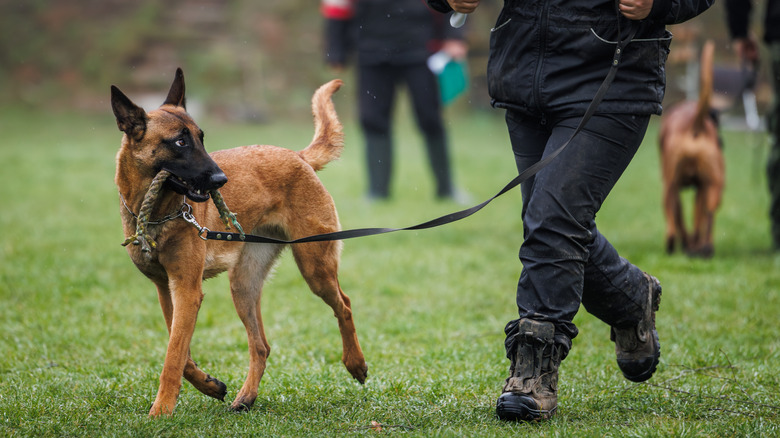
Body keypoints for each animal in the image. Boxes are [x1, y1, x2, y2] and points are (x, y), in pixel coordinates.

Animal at [111, 70, 368, 416]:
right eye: (180, 141)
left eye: (201, 138)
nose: (221, 180)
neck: (156, 213)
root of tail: (298, 157)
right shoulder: (167, 290)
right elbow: (180, 352)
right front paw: (209, 385)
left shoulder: (188, 290)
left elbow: (173, 356)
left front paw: (161, 410)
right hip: (243, 284)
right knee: (261, 345)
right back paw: (246, 397)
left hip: (315, 266)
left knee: (345, 304)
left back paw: (356, 363)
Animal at [660, 40, 724, 256]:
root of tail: (695, 124)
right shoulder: (701, 188)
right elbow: (698, 218)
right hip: (712, 187)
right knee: (707, 216)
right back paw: (703, 248)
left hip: (671, 187)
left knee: (674, 220)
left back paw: (678, 246)